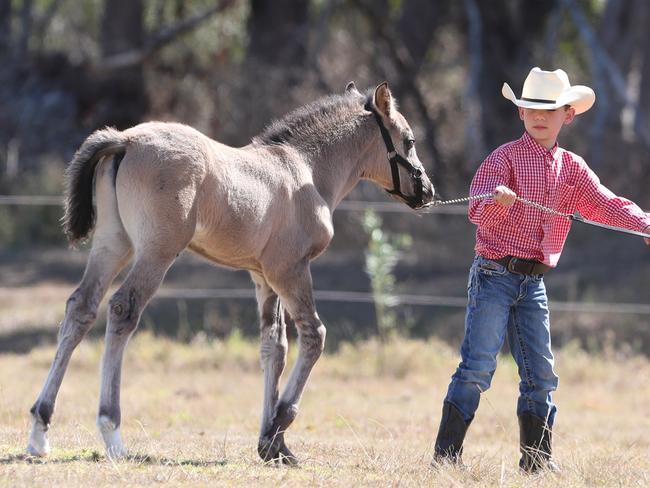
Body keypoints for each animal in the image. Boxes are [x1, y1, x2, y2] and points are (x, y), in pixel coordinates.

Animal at [29, 82, 436, 464]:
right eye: (409, 140)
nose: (427, 191)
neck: (305, 169)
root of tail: (125, 139)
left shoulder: (263, 276)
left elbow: (274, 347)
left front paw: (274, 445)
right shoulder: (290, 269)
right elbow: (313, 335)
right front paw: (277, 426)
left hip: (112, 244)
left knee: (80, 308)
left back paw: (39, 433)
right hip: (156, 252)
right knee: (122, 309)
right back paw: (112, 434)